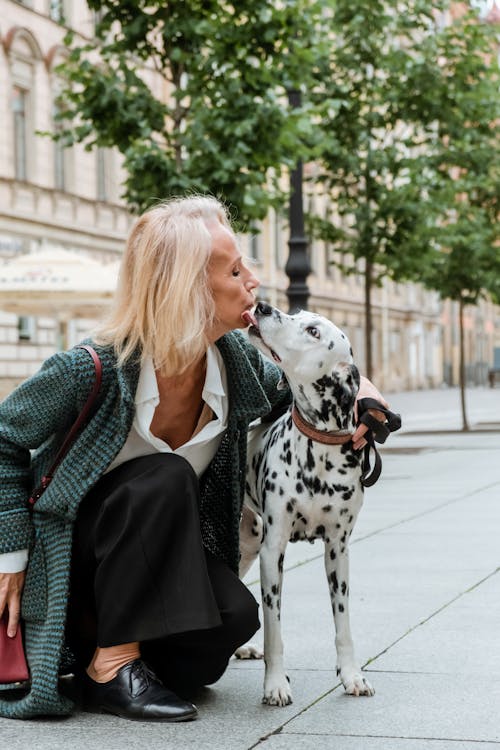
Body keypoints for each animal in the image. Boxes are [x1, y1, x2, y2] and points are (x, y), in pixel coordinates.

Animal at [239, 302, 376, 708]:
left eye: (314, 331)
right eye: (296, 313)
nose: (263, 305)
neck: (319, 452)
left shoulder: (338, 551)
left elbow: (343, 624)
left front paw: (352, 675)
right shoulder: (273, 552)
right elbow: (274, 629)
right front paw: (275, 684)